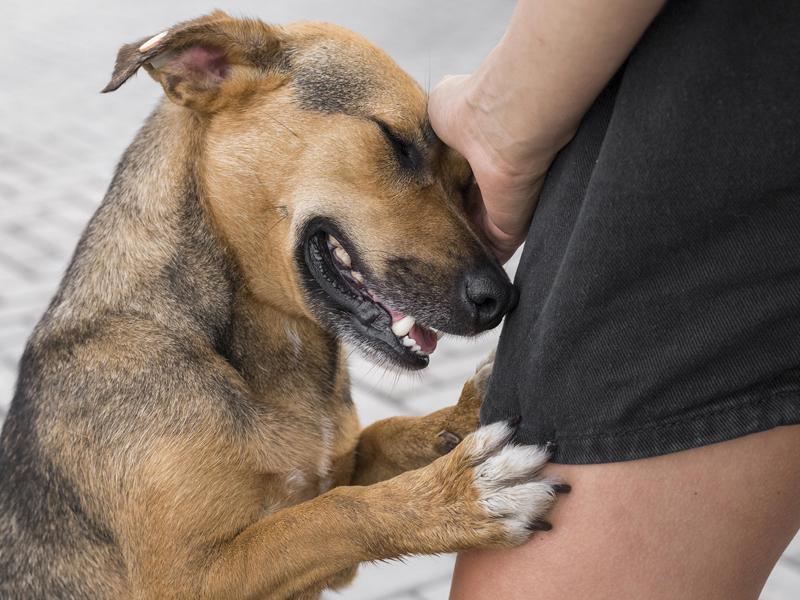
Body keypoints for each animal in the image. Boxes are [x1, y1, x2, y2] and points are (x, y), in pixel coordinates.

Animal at [0, 10, 564, 600]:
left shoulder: (335, 466)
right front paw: (454, 496)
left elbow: (382, 437)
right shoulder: (188, 578)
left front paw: (460, 415)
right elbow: (331, 514)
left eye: (466, 181)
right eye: (394, 140)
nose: (501, 299)